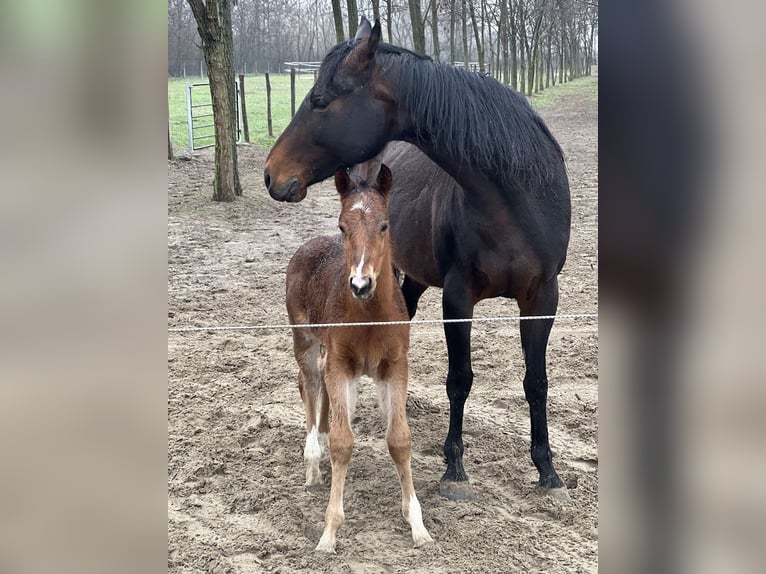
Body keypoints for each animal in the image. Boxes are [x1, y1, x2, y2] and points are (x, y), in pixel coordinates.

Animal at [267, 17, 571, 501]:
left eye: (320, 101)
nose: (271, 173)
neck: (517, 199)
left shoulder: (543, 298)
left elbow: (536, 382)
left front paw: (548, 471)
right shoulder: (458, 298)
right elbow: (460, 378)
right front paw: (455, 470)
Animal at [285, 164, 433, 553]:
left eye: (384, 225)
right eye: (342, 225)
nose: (360, 284)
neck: (369, 316)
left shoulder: (395, 366)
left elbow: (399, 439)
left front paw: (417, 525)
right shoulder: (341, 366)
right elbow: (343, 442)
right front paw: (329, 533)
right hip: (304, 339)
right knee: (308, 383)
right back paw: (312, 457)